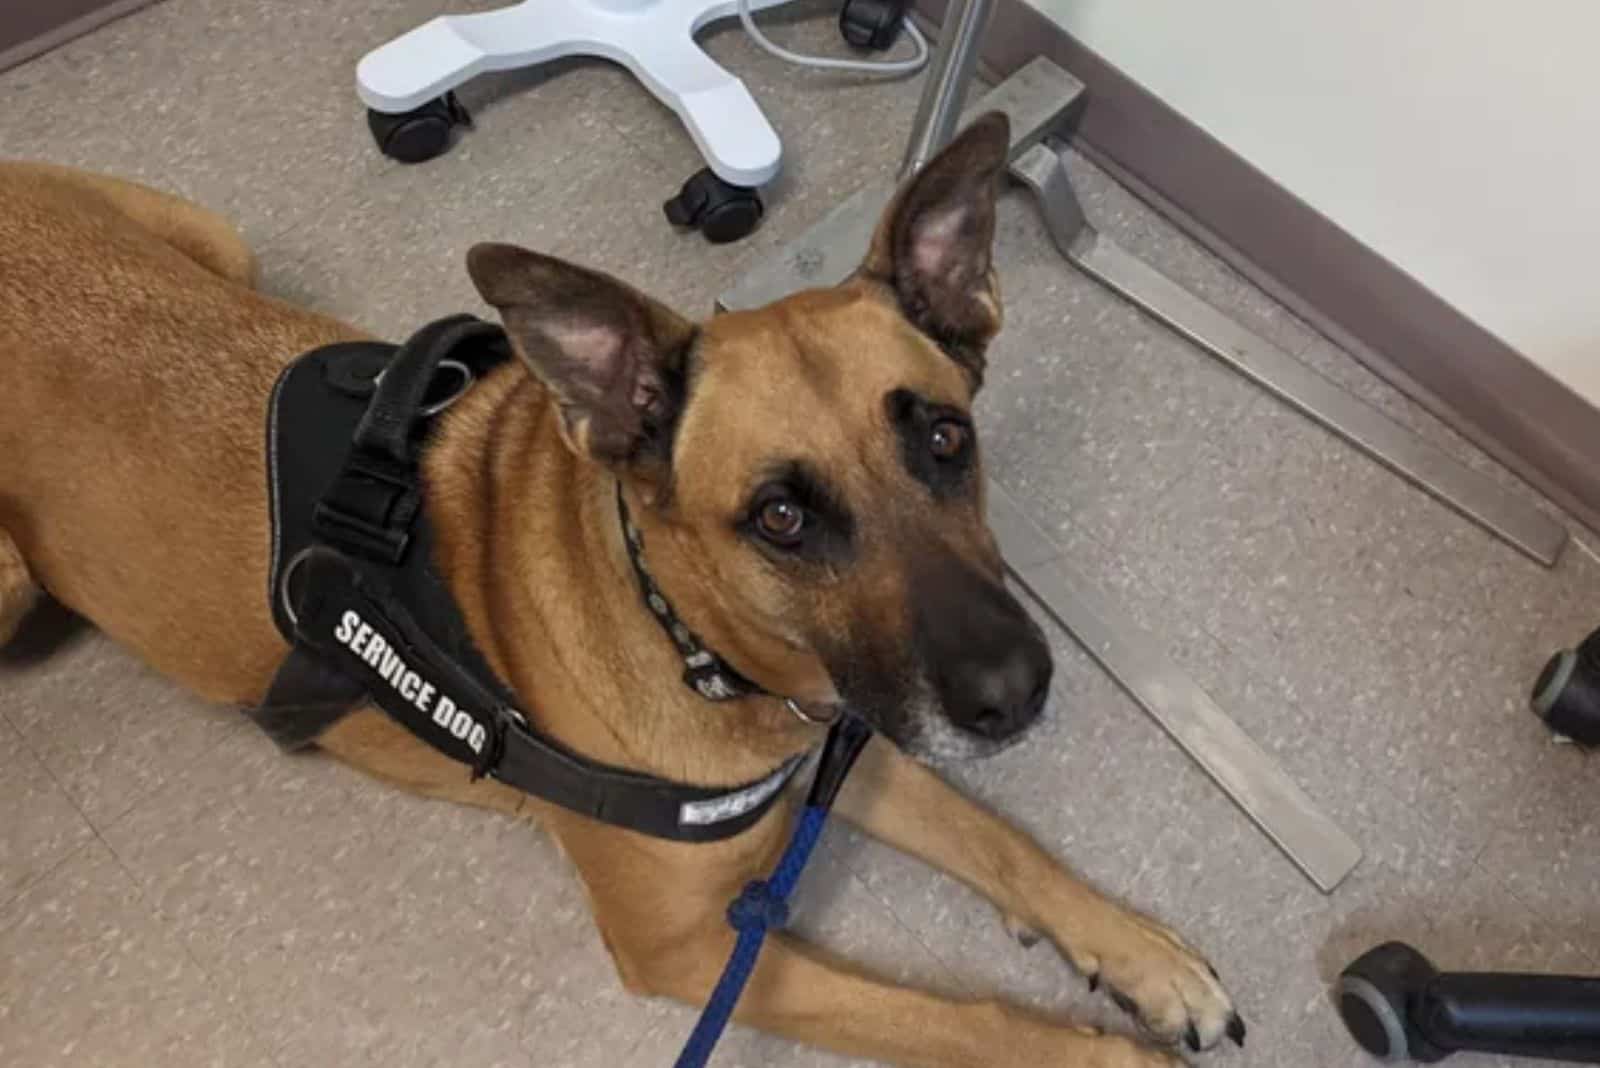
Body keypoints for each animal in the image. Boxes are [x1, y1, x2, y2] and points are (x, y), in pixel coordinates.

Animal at [0, 116, 1241, 1068]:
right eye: (780, 517)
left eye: (945, 439)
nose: (1015, 693)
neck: (689, 638)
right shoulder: (694, 955)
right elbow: (960, 1019)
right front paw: (1103, 1053)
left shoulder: (848, 729)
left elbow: (1002, 841)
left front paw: (1144, 958)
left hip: (220, 243)